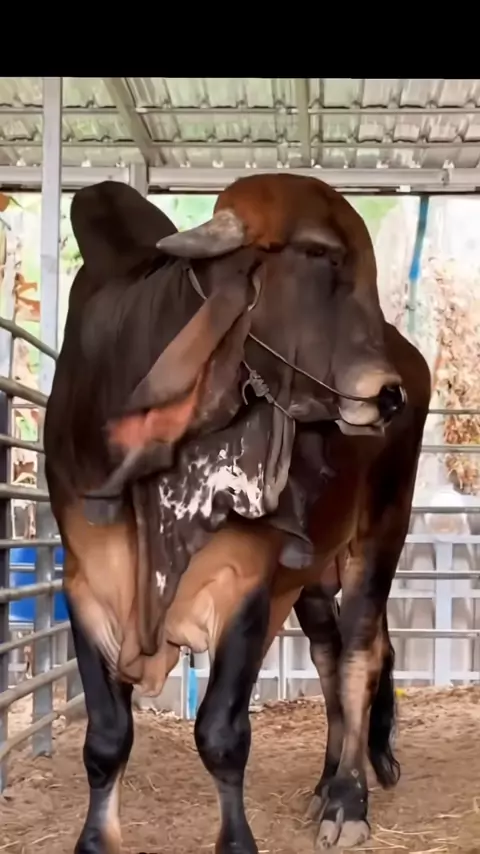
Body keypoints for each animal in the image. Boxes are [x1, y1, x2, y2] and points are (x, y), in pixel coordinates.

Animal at [43, 173, 429, 854]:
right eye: (321, 253)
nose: (388, 396)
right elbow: (107, 736)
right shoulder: (87, 581)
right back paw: (325, 782)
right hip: (312, 574)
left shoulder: (246, 579)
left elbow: (221, 732)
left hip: (382, 530)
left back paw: (346, 799)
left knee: (359, 658)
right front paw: (95, 840)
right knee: (330, 659)